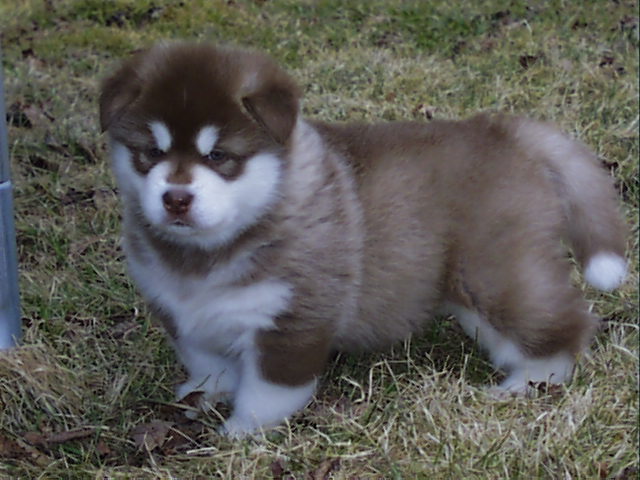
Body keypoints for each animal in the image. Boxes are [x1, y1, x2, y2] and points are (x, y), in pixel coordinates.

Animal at [99, 43, 624, 436]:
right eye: (151, 152)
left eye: (219, 156)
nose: (176, 199)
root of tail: (503, 130)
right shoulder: (182, 314)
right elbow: (208, 361)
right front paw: (206, 394)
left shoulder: (293, 320)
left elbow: (268, 392)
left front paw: (240, 432)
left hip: (493, 275)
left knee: (561, 324)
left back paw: (528, 384)